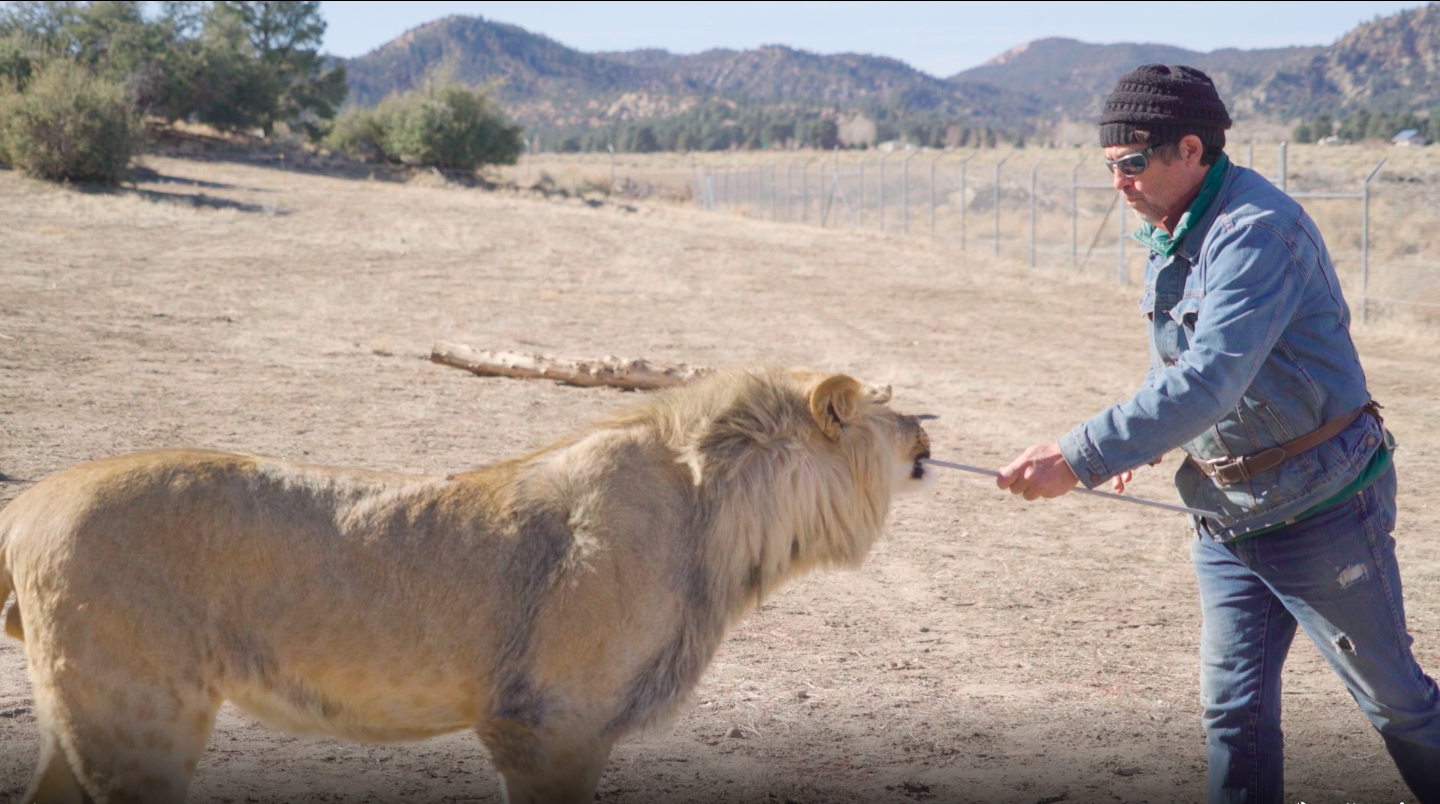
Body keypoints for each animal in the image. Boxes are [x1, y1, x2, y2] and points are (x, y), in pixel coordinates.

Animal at [0, 368, 933, 804]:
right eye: (888, 407)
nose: (932, 428)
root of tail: (30, 501)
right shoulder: (548, 724)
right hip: (140, 717)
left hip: (85, 714)